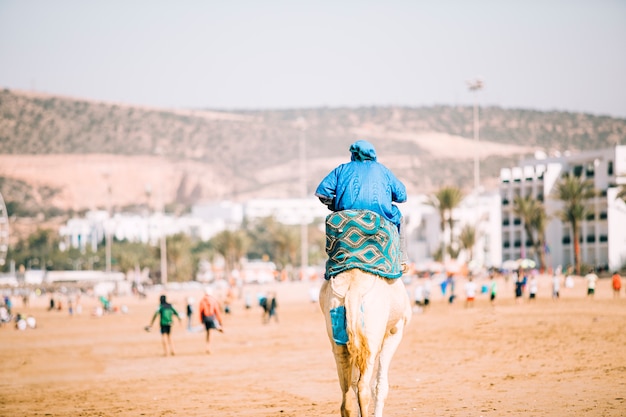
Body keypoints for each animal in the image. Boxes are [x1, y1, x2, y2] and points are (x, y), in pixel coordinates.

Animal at [320, 266, 412, 416]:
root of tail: (353, 290)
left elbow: (354, 382)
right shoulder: (395, 331)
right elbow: (379, 386)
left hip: (338, 333)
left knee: (346, 399)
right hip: (371, 341)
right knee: (363, 388)